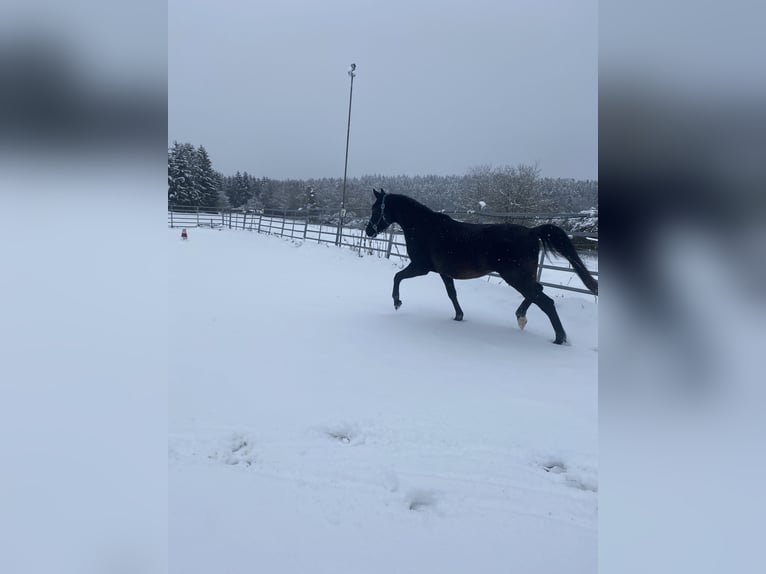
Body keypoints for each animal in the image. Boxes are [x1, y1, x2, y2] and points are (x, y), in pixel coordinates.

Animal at [366, 189, 600, 344]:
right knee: (537, 293)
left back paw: (558, 338)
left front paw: (397, 302)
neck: (424, 227)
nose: (369, 231)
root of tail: (532, 232)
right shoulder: (444, 273)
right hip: (522, 277)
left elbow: (397, 277)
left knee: (545, 300)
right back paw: (522, 317)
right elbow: (452, 294)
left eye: (376, 208)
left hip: (516, 276)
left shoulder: (420, 267)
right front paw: (459, 317)